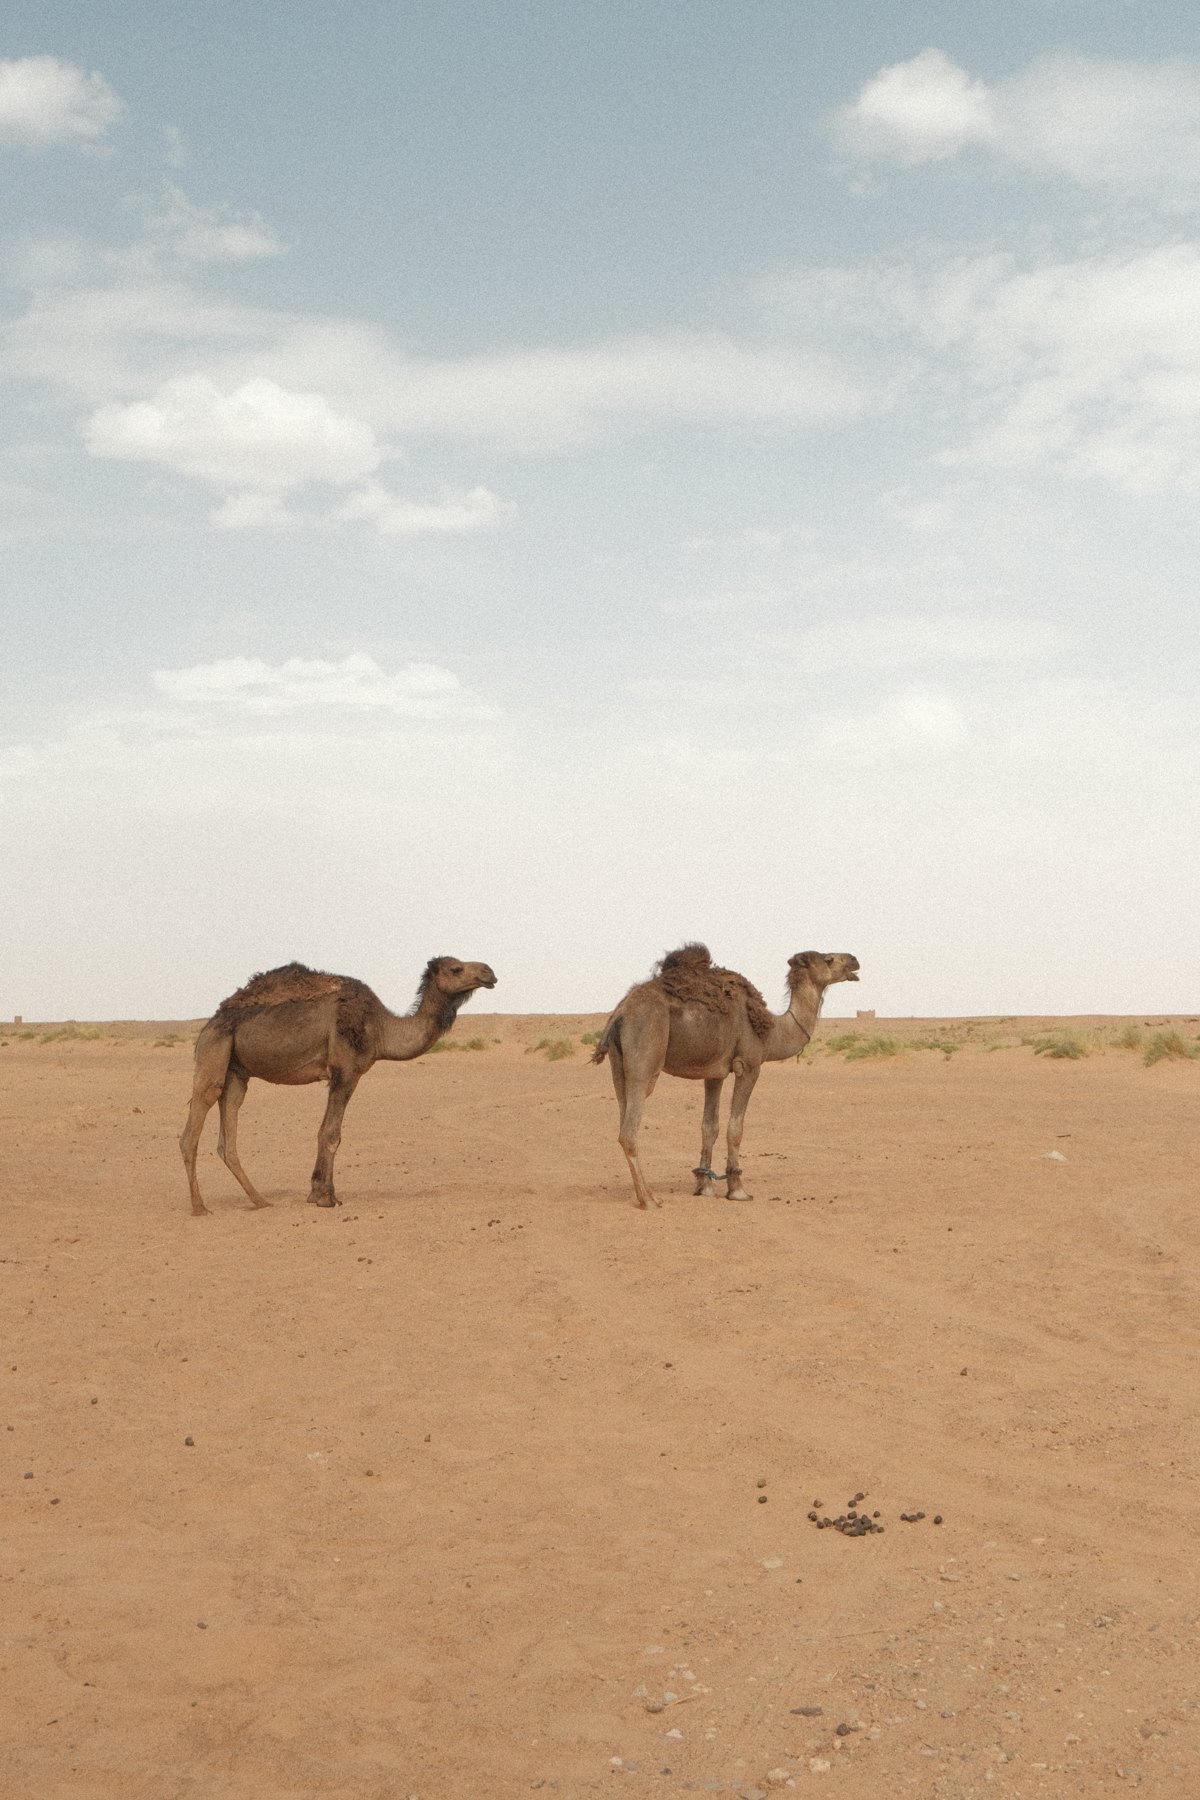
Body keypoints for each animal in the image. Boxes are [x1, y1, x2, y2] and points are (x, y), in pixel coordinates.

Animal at [180, 956, 496, 1215]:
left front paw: (317, 1192)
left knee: (229, 1120)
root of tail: (212, 1021)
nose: (489, 972)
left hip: (237, 1070)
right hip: (215, 1046)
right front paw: (325, 1197)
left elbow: (327, 1132)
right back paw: (199, 1207)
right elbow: (331, 1134)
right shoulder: (345, 1071)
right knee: (198, 1114)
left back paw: (260, 1200)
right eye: (456, 969)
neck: (381, 1028)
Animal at [592, 944, 859, 1209]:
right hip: (645, 1054)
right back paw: (648, 1200)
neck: (773, 1032)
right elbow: (735, 1127)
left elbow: (709, 1127)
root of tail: (620, 1013)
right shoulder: (748, 1065)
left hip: (618, 1066)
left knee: (623, 1118)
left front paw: (705, 1187)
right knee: (629, 1131)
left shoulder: (714, 1073)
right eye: (829, 959)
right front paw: (738, 1190)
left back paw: (647, 1194)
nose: (854, 961)